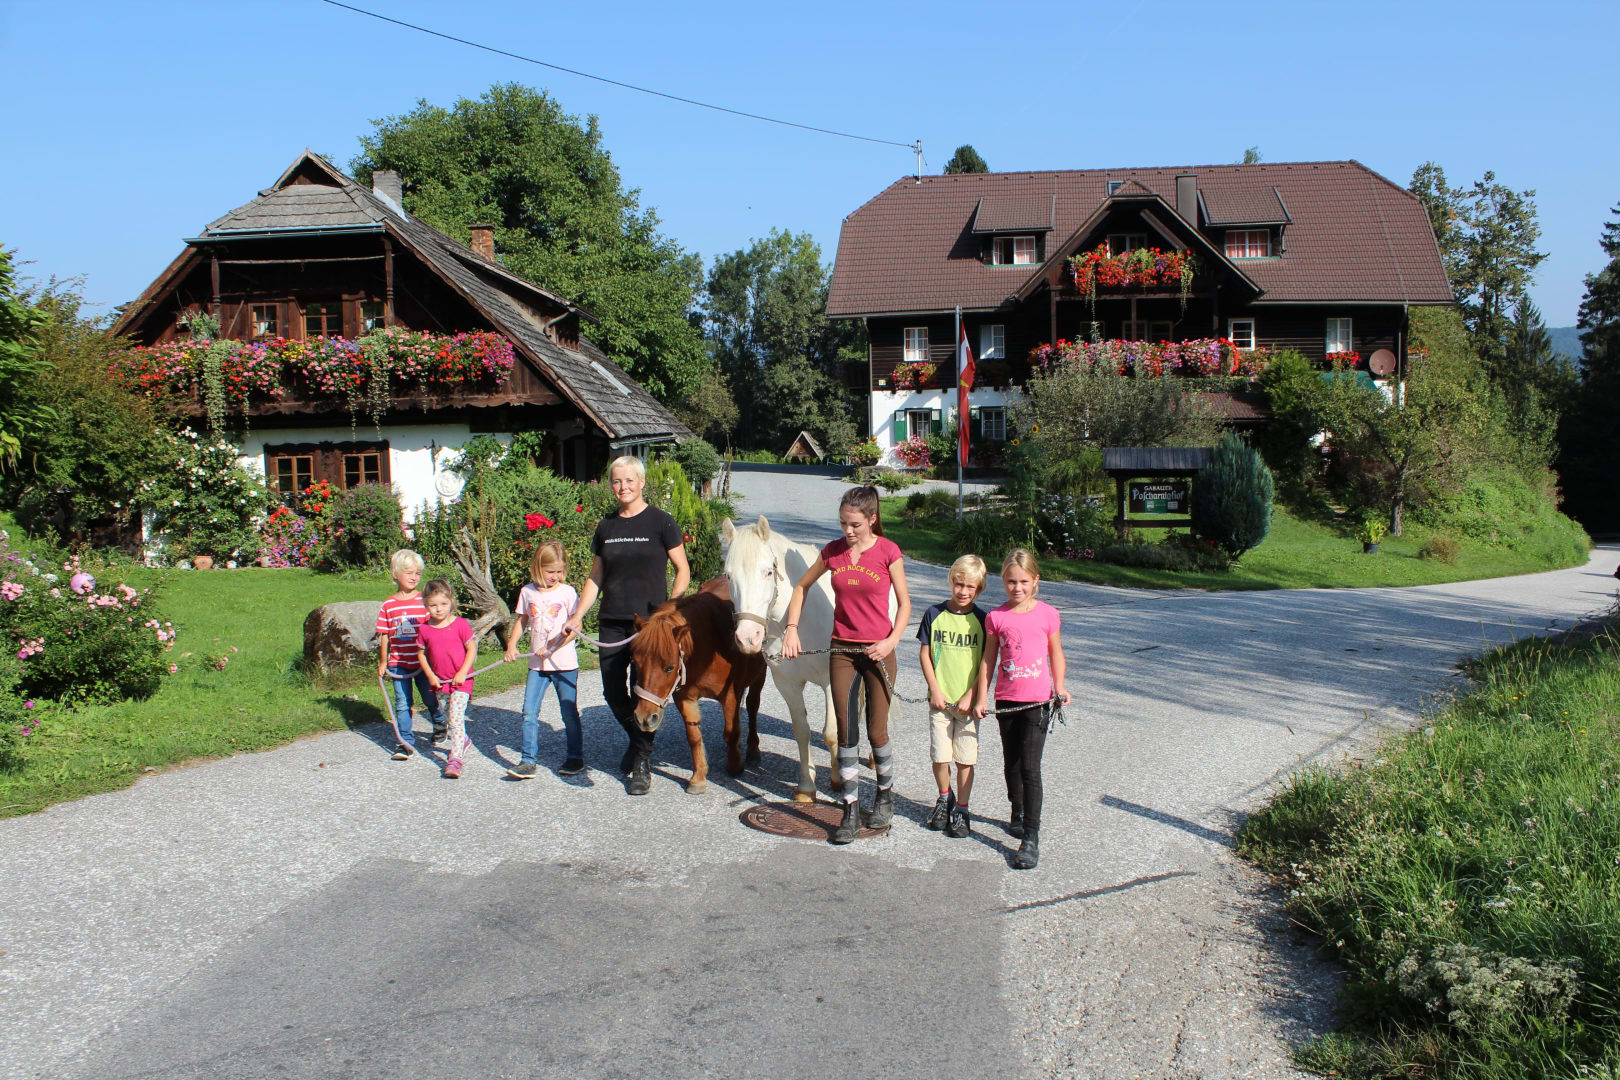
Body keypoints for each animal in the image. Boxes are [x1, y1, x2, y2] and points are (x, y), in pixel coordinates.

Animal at [627, 578, 767, 794]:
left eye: (669, 667)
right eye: (635, 662)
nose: (644, 718)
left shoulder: (729, 695)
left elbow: (731, 733)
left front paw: (735, 765)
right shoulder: (685, 698)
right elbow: (694, 737)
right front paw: (699, 777)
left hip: (760, 674)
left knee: (752, 707)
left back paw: (752, 749)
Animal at [721, 515, 844, 804]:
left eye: (768, 572)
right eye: (728, 575)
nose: (748, 637)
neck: (797, 617)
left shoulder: (831, 681)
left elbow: (832, 734)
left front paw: (837, 779)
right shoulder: (788, 685)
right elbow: (802, 731)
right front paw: (806, 787)